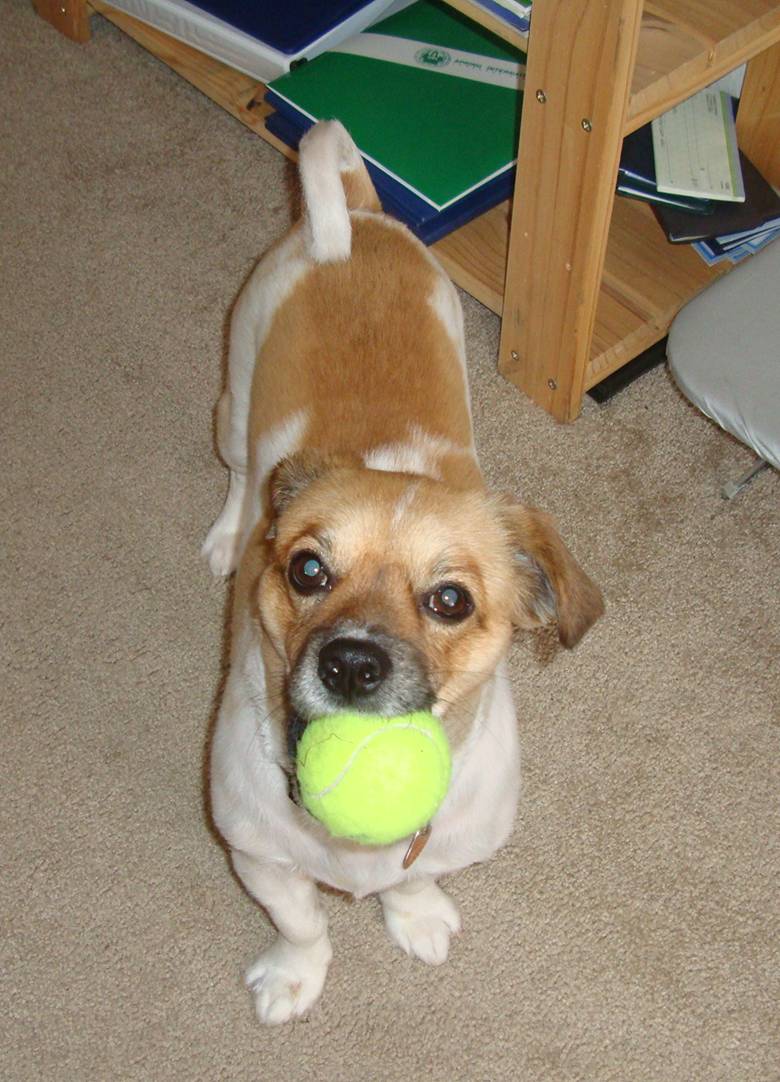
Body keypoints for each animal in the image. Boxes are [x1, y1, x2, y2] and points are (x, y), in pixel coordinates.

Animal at [202, 118, 601, 1021]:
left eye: (450, 599)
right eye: (307, 570)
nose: (352, 664)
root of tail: (349, 224)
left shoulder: (450, 849)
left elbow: (413, 886)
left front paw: (414, 918)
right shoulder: (258, 858)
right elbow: (303, 923)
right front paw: (295, 976)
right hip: (232, 401)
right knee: (241, 474)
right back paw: (226, 533)